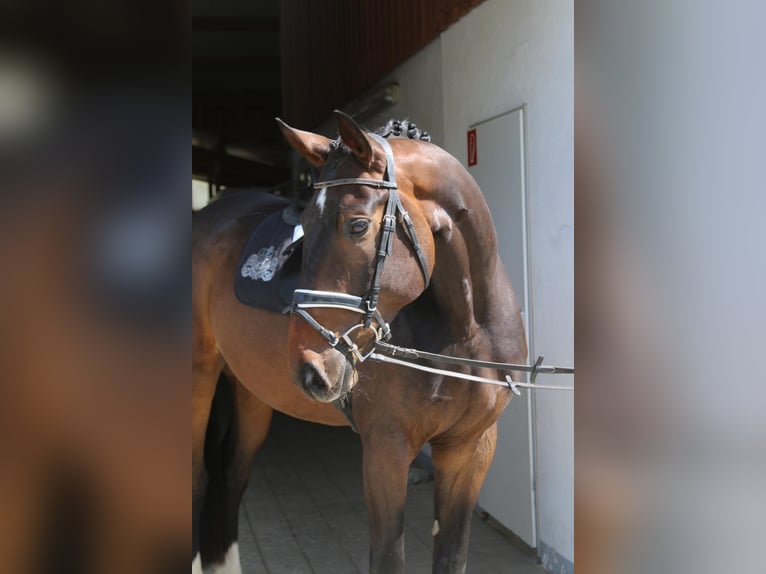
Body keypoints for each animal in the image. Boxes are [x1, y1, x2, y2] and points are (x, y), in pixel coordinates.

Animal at [192, 112, 532, 574]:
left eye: (357, 226)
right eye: (305, 229)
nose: (311, 370)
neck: (469, 329)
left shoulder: (470, 448)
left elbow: (452, 554)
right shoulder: (385, 450)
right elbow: (388, 558)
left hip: (251, 392)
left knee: (231, 477)